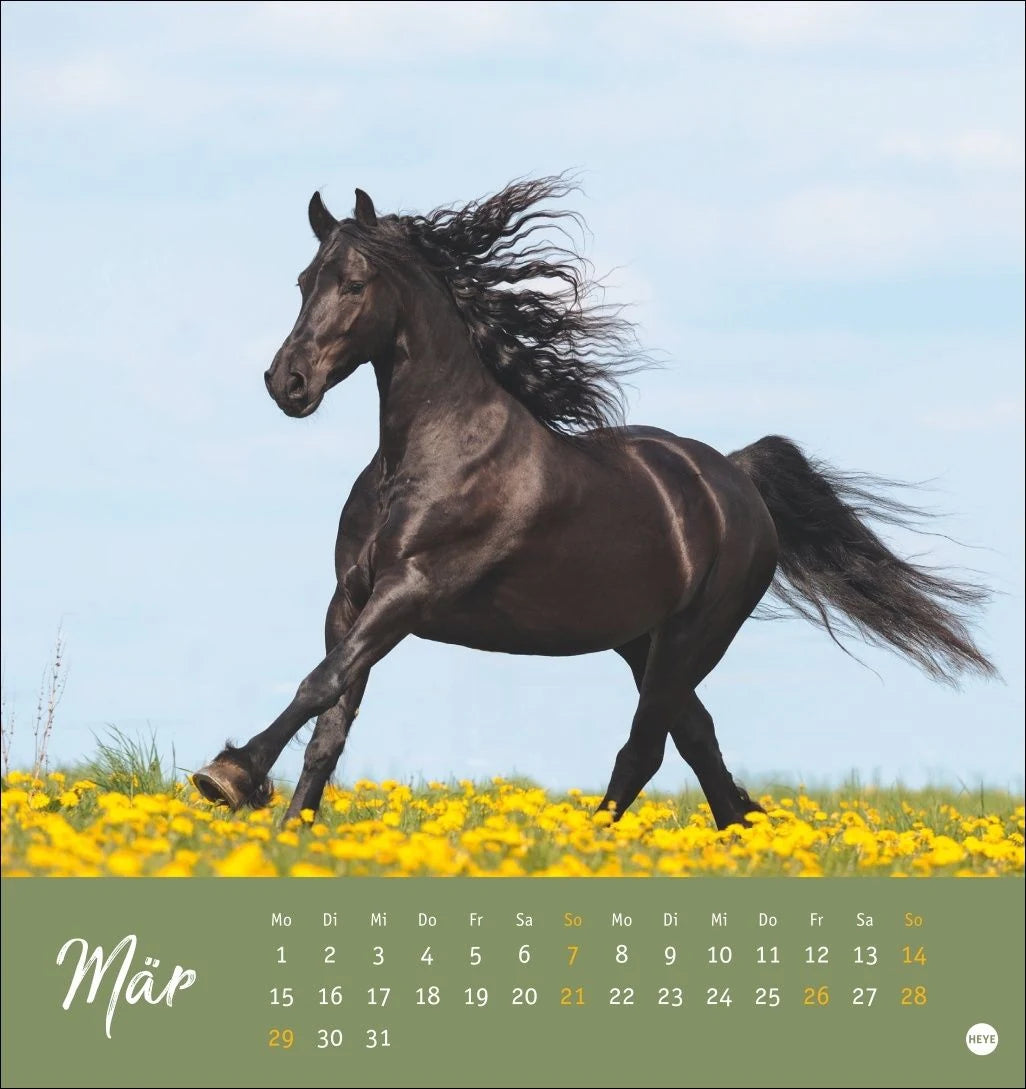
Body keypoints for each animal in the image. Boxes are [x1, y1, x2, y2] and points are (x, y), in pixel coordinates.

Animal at [193, 176, 993, 828]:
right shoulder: (351, 596)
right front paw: (285, 832)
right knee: (697, 744)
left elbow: (320, 682)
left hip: (691, 637)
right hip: (642, 641)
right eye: (305, 280)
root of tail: (733, 477)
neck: (424, 457)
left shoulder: (411, 590)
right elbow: (331, 720)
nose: (287, 382)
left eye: (354, 284)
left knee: (648, 749)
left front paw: (227, 775)